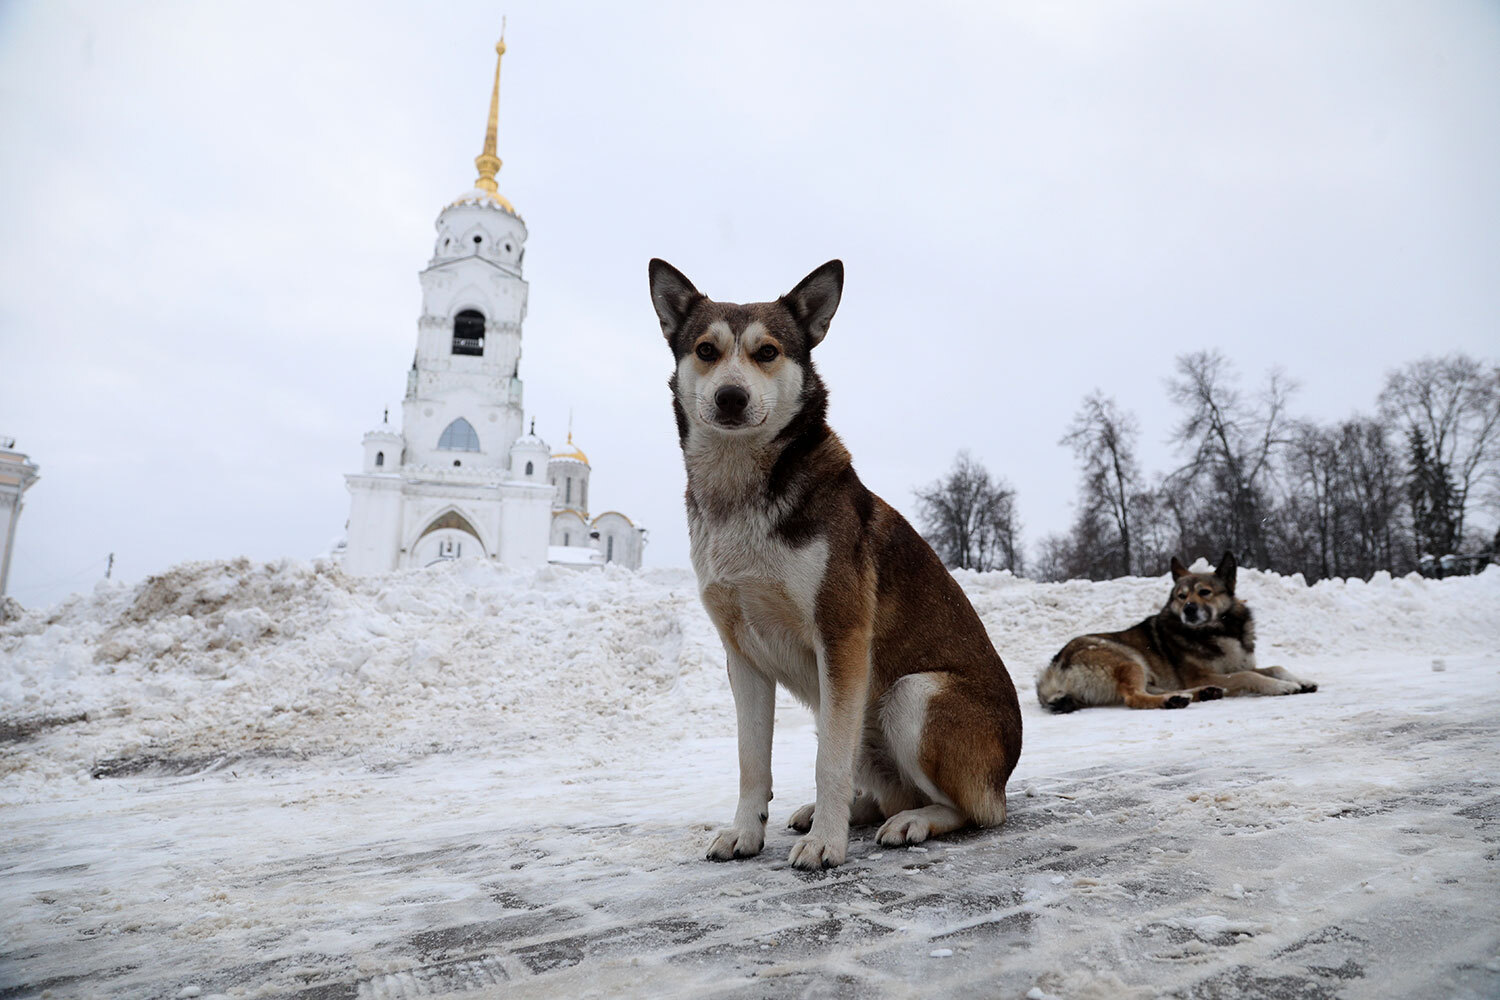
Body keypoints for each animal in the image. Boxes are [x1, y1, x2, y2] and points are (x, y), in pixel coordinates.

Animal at [648, 258, 1023, 870]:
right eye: (705, 350)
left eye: (767, 352)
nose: (730, 397)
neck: (740, 494)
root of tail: (1007, 770)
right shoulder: (742, 655)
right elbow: (751, 761)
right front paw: (745, 832)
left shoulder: (840, 635)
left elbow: (828, 764)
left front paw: (826, 843)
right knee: (881, 785)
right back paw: (859, 809)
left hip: (909, 696)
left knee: (975, 811)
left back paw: (912, 821)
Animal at [1035, 552, 1317, 713]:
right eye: (1181, 596)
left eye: (1205, 592)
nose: (1189, 609)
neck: (1220, 631)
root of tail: (1052, 669)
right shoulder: (1202, 673)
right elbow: (1250, 675)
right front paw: (1282, 687)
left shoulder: (1236, 665)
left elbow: (1275, 666)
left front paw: (1300, 680)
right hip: (1129, 659)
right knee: (1134, 697)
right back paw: (1174, 700)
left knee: (1154, 690)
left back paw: (1202, 693)